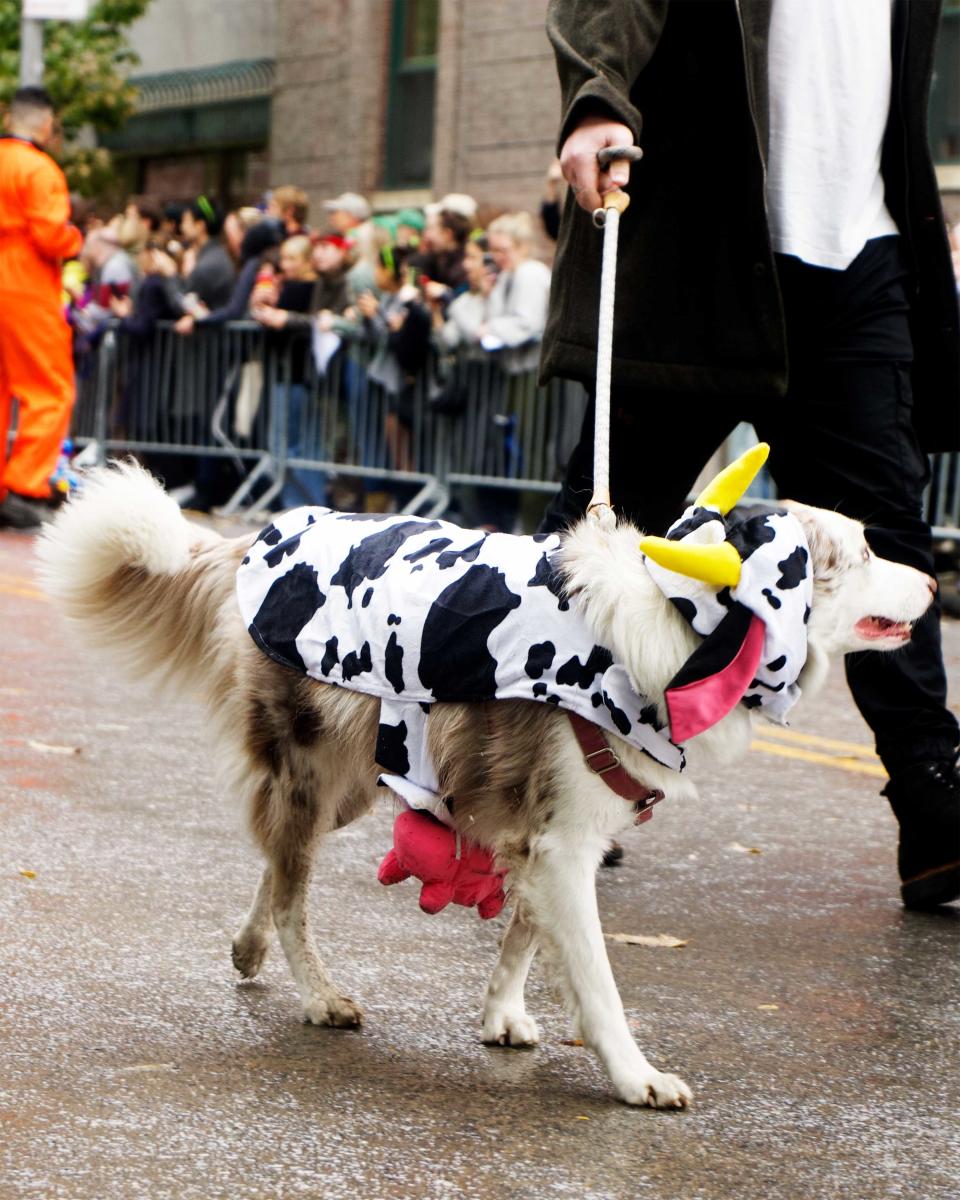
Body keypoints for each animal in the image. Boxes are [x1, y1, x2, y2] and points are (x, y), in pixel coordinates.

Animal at [39, 453, 936, 1108]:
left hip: (359, 777)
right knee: (293, 894)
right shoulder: (565, 846)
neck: (685, 626)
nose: (933, 582)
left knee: (275, 871)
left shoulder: (553, 839)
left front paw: (502, 1015)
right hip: (311, 774)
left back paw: (249, 946)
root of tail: (252, 542)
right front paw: (636, 1078)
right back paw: (320, 996)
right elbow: (598, 982)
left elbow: (524, 938)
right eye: (862, 553)